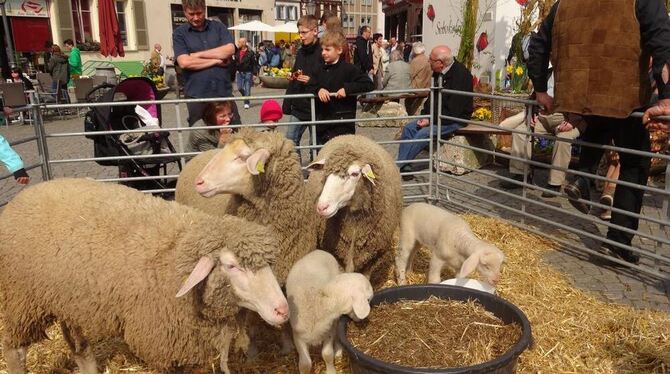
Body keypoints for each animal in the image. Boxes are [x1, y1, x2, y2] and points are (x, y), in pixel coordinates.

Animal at [0, 178, 288, 374]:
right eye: (231, 266)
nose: (283, 310)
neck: (179, 252)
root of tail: (21, 197)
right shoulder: (160, 337)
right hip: (22, 298)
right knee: (15, 350)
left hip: (70, 300)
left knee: (80, 346)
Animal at [306, 134, 404, 290]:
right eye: (325, 173)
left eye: (354, 174)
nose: (322, 207)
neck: (354, 225)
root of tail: (352, 135)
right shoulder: (337, 254)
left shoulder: (371, 256)